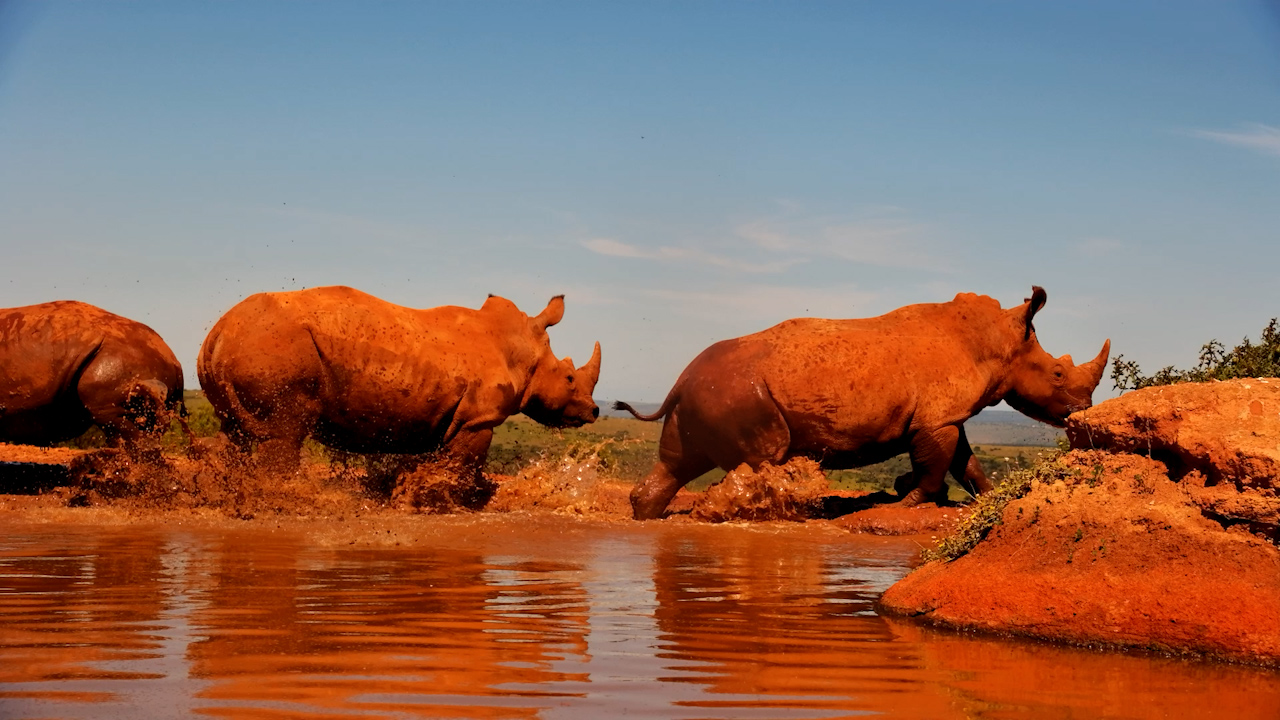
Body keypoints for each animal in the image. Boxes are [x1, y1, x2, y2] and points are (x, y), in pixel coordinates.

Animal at [197, 286, 601, 475]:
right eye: (569, 377)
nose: (594, 411)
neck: (521, 348)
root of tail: (219, 331)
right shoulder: (478, 418)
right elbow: (464, 467)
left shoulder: (440, 415)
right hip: (275, 346)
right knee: (283, 434)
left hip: (246, 347)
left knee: (235, 432)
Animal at [617, 287, 1109, 520]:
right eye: (1058, 374)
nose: (1081, 410)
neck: (999, 342)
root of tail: (680, 380)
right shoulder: (937, 418)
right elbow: (936, 464)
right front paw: (909, 504)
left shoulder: (947, 415)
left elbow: (967, 462)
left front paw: (990, 499)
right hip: (739, 395)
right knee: (762, 462)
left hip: (704, 395)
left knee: (679, 461)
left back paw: (647, 515)